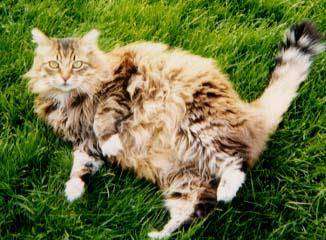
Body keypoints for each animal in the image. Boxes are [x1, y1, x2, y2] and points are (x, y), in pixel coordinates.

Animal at [24, 22, 324, 238]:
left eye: (77, 64)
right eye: (54, 64)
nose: (65, 78)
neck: (70, 99)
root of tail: (248, 111)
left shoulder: (119, 85)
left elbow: (103, 118)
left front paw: (112, 141)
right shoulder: (85, 142)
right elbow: (81, 163)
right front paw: (74, 188)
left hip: (201, 126)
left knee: (235, 162)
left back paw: (227, 189)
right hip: (185, 179)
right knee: (194, 210)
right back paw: (158, 233)